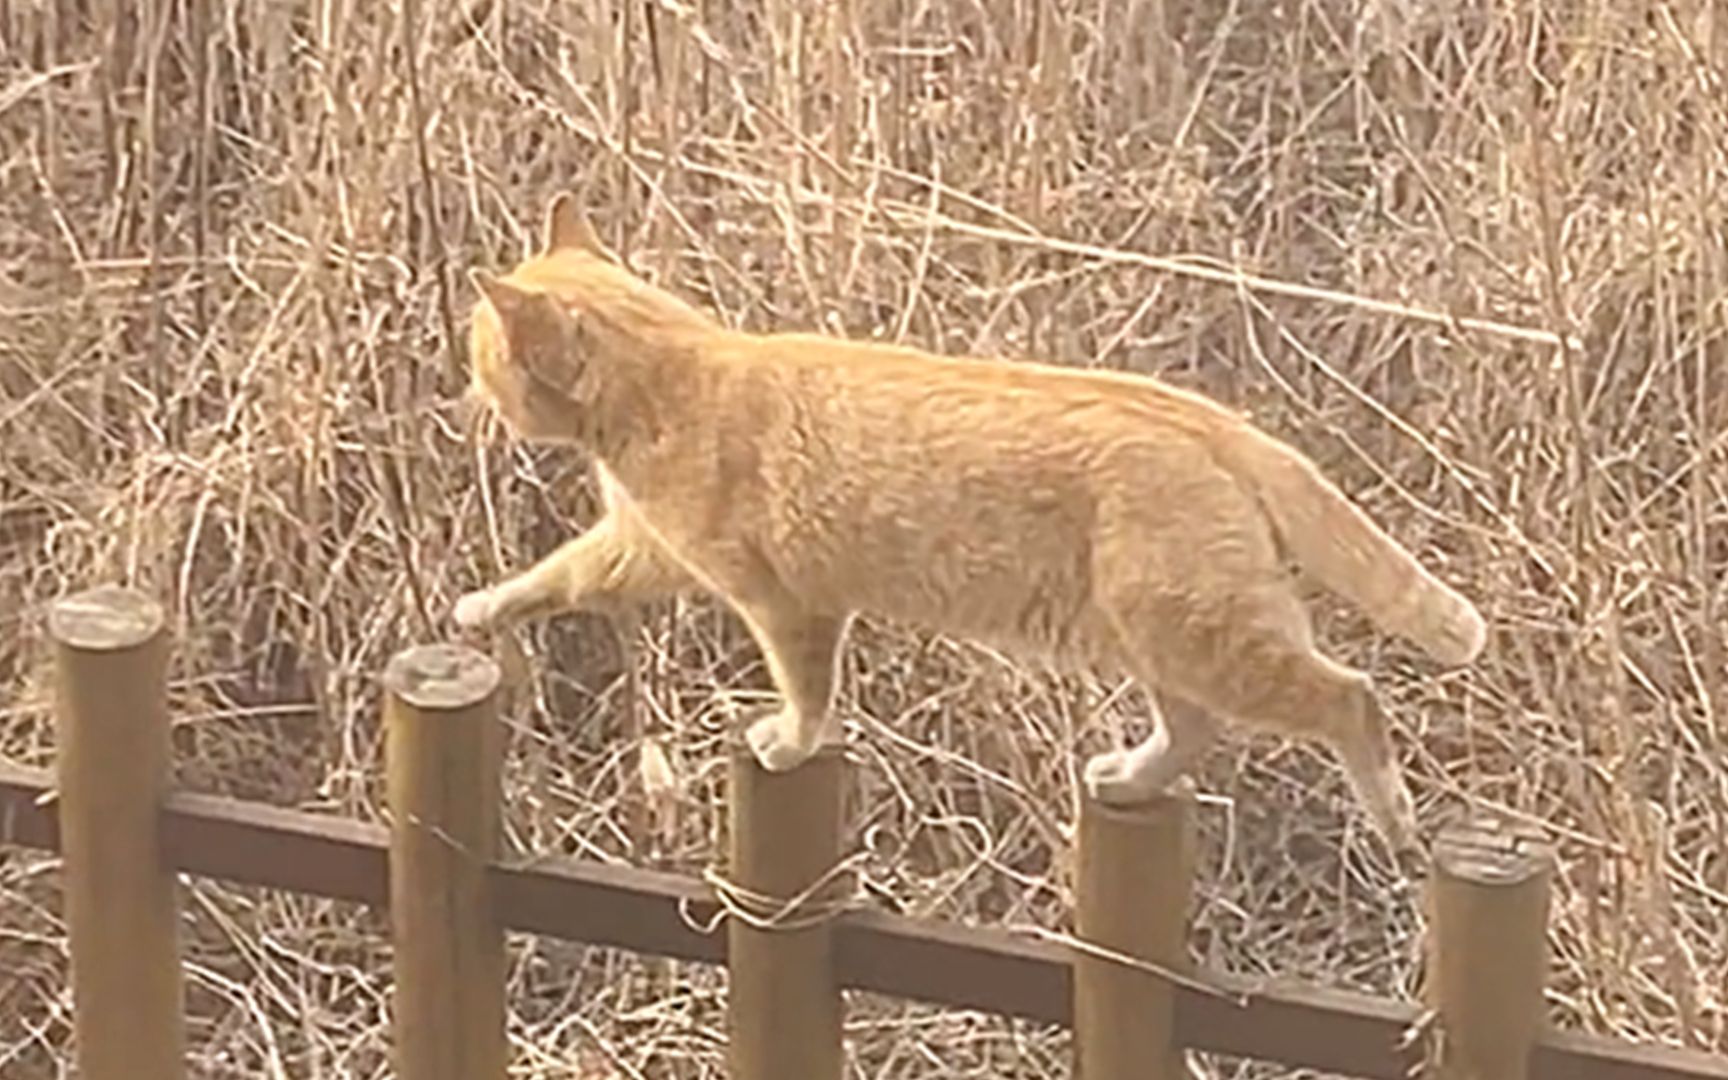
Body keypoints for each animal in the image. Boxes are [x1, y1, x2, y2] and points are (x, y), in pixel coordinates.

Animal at [456, 196, 1486, 867]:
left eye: (481, 352)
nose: (470, 391)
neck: (674, 381)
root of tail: (1209, 418)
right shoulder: (639, 551)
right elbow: (549, 580)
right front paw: (479, 610)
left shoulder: (783, 605)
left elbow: (807, 694)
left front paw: (788, 741)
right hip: (1156, 635)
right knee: (1193, 728)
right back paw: (1130, 778)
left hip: (1205, 637)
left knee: (1347, 698)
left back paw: (1394, 819)